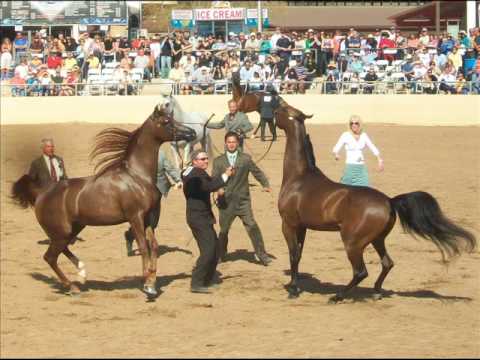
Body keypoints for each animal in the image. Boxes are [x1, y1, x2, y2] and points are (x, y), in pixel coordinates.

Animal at [11, 103, 196, 298]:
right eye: (166, 121)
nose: (191, 133)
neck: (137, 176)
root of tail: (41, 193)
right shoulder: (135, 217)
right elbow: (143, 246)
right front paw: (147, 285)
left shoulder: (148, 217)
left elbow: (153, 245)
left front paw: (152, 281)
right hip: (61, 232)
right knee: (50, 257)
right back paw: (73, 286)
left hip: (72, 229)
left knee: (60, 251)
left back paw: (82, 273)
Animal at [274, 105, 476, 302]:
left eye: (283, 110)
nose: (274, 110)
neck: (299, 177)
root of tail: (389, 201)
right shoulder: (302, 226)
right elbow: (298, 255)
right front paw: (294, 285)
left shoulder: (288, 224)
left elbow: (293, 255)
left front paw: (293, 290)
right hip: (377, 239)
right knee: (387, 263)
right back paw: (376, 292)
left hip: (353, 243)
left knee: (361, 271)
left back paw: (338, 296)